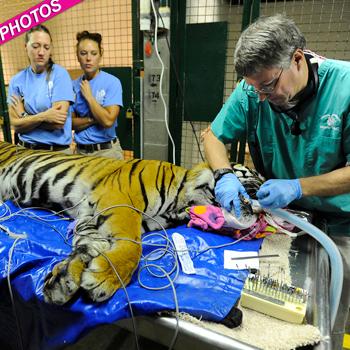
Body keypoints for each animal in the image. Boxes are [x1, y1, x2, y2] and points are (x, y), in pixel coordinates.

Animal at [0, 141, 262, 304]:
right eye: (255, 175)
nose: (262, 203)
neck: (182, 205)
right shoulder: (119, 201)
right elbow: (131, 246)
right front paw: (106, 278)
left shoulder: (89, 216)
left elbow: (88, 246)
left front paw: (62, 280)